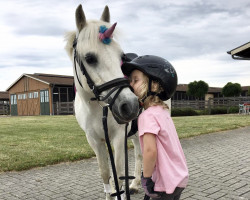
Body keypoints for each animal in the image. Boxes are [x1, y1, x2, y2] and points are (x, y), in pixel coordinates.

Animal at [64, 4, 143, 200]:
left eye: (121, 56)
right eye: (90, 58)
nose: (130, 105)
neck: (96, 109)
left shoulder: (118, 138)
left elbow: (118, 177)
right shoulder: (95, 140)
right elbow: (106, 175)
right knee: (139, 153)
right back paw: (135, 184)